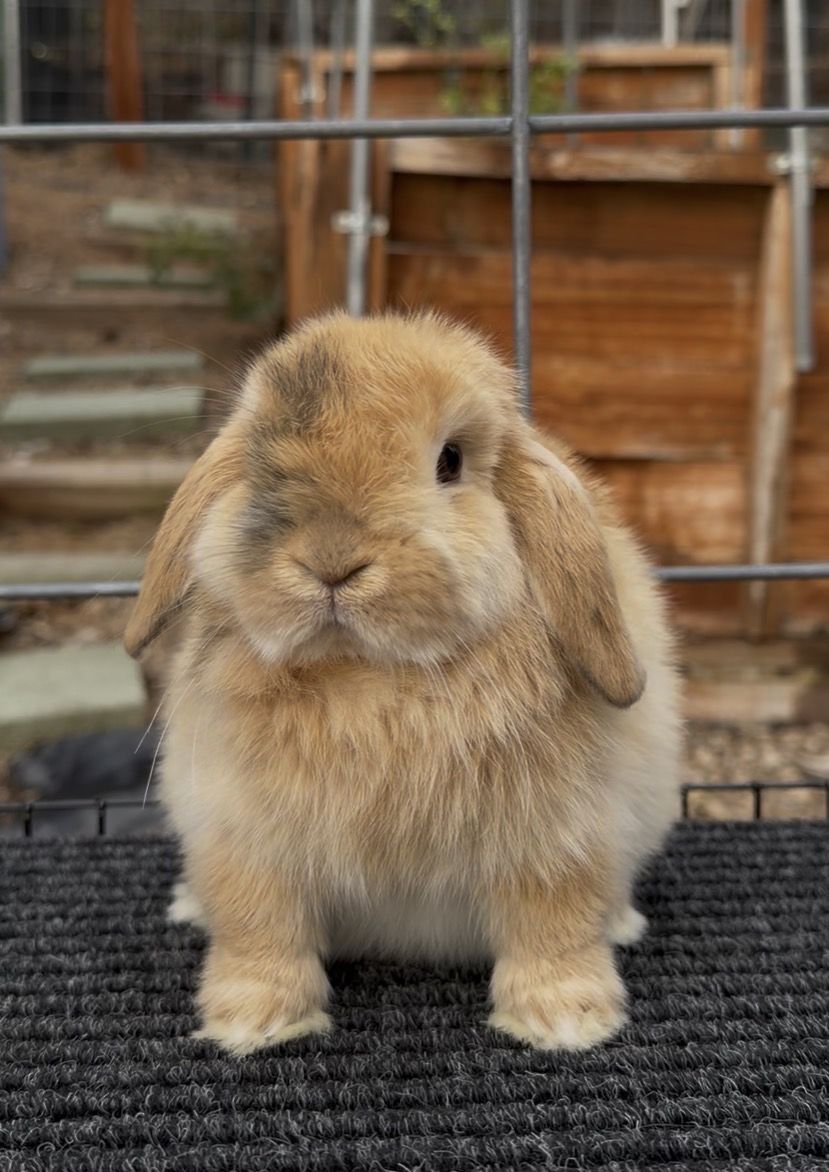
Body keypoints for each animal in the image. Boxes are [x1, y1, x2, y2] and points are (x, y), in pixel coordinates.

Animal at [125, 311, 681, 1055]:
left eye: (450, 461)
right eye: (259, 457)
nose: (331, 561)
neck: (370, 674)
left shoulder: (553, 841)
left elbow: (552, 924)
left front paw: (566, 1020)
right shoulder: (245, 841)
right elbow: (259, 929)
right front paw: (255, 1022)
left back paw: (620, 924)